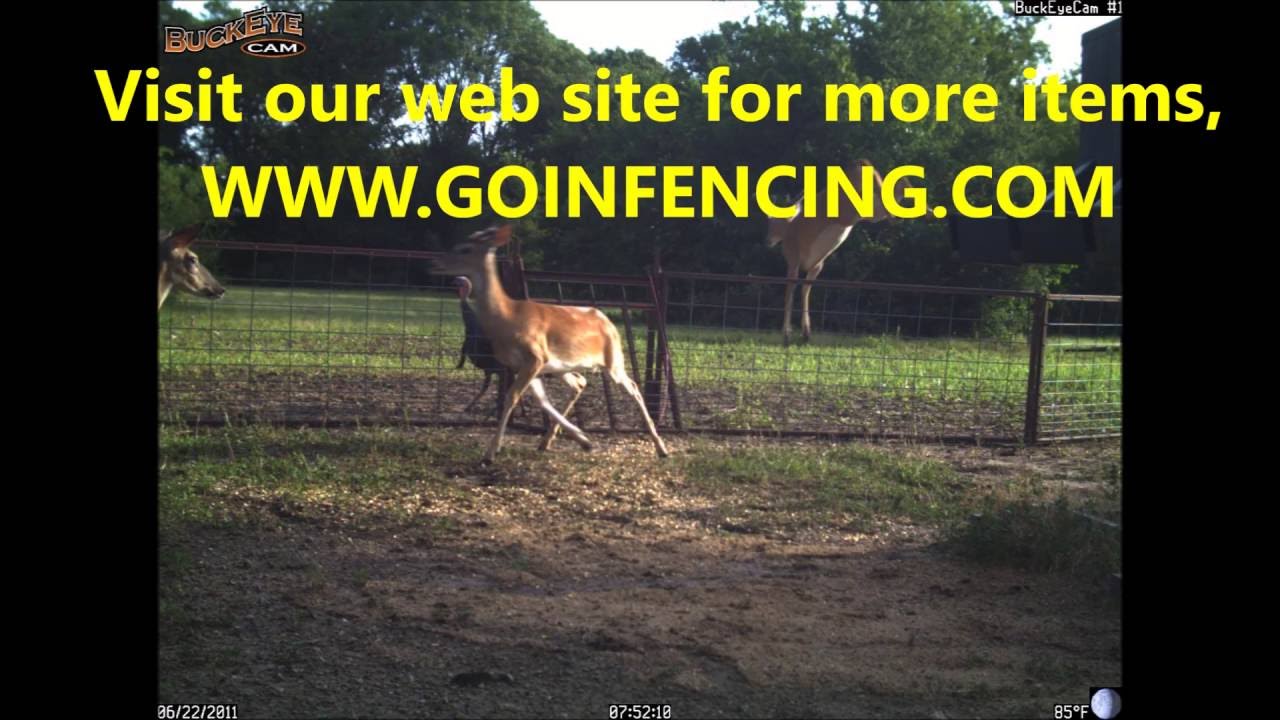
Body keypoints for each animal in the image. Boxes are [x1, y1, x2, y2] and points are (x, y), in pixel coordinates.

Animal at [432, 225, 670, 464]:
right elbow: (542, 401)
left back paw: (661, 448)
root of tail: (609, 322)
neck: (507, 317)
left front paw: (490, 453)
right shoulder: (525, 365)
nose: (435, 263)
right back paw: (548, 441)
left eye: (465, 249)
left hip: (613, 360)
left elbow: (512, 397)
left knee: (633, 387)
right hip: (562, 367)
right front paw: (583, 440)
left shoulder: (535, 356)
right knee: (580, 382)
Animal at [766, 160, 925, 346]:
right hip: (866, 209)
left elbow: (789, 292)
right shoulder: (817, 266)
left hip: (851, 211)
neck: (790, 230)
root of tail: (859, 163)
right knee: (893, 190)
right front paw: (805, 334)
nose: (768, 240)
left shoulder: (794, 260)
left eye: (773, 220)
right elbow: (805, 290)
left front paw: (787, 336)